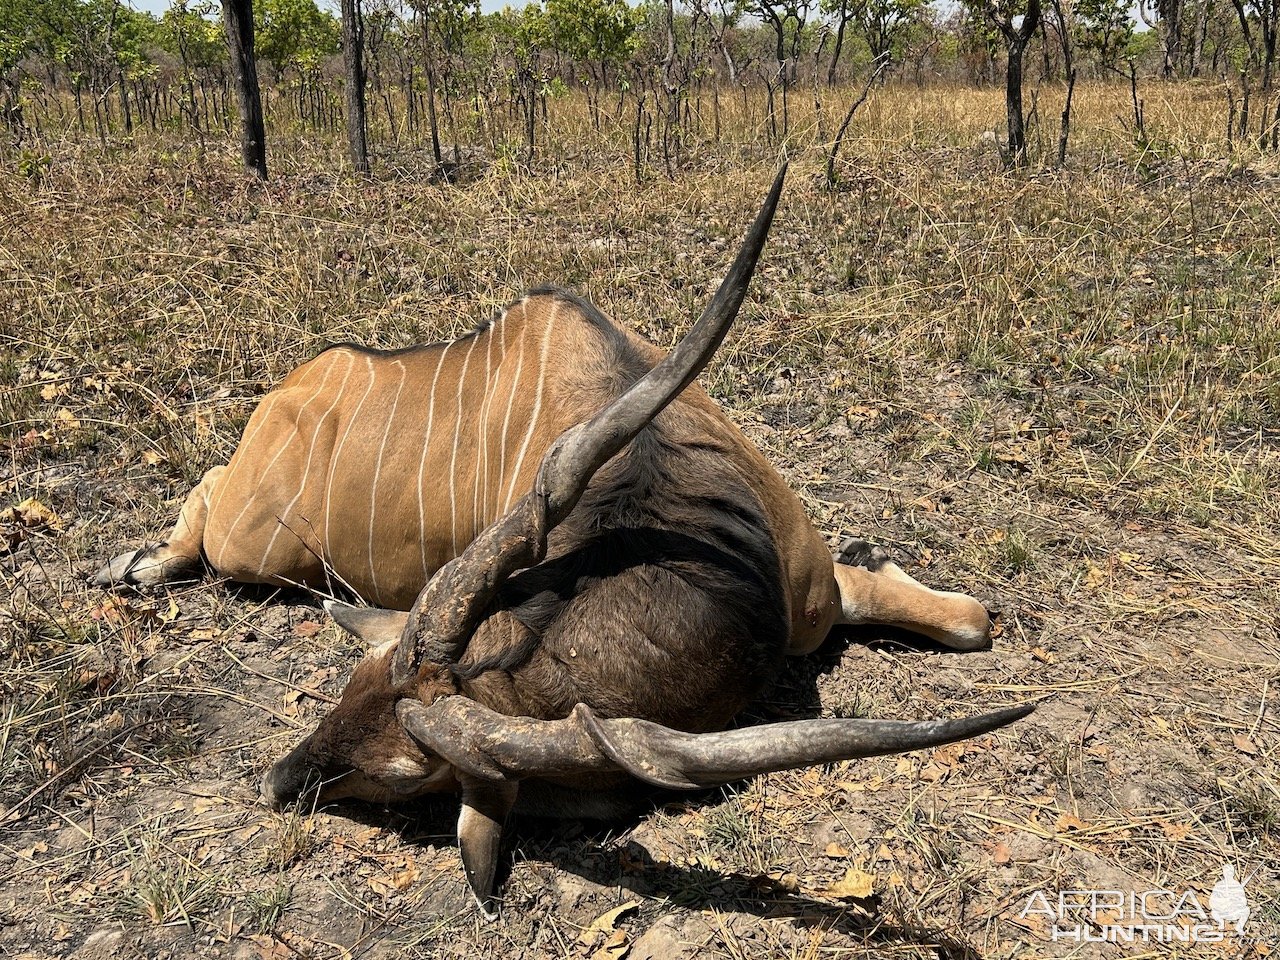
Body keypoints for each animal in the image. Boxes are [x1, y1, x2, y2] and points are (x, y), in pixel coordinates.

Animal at [94, 168, 1034, 911]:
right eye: (346, 686)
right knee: (206, 497)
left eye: (402, 777)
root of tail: (299, 385)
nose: (278, 781)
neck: (659, 512)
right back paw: (136, 564)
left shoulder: (820, 595)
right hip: (252, 542)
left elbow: (970, 619)